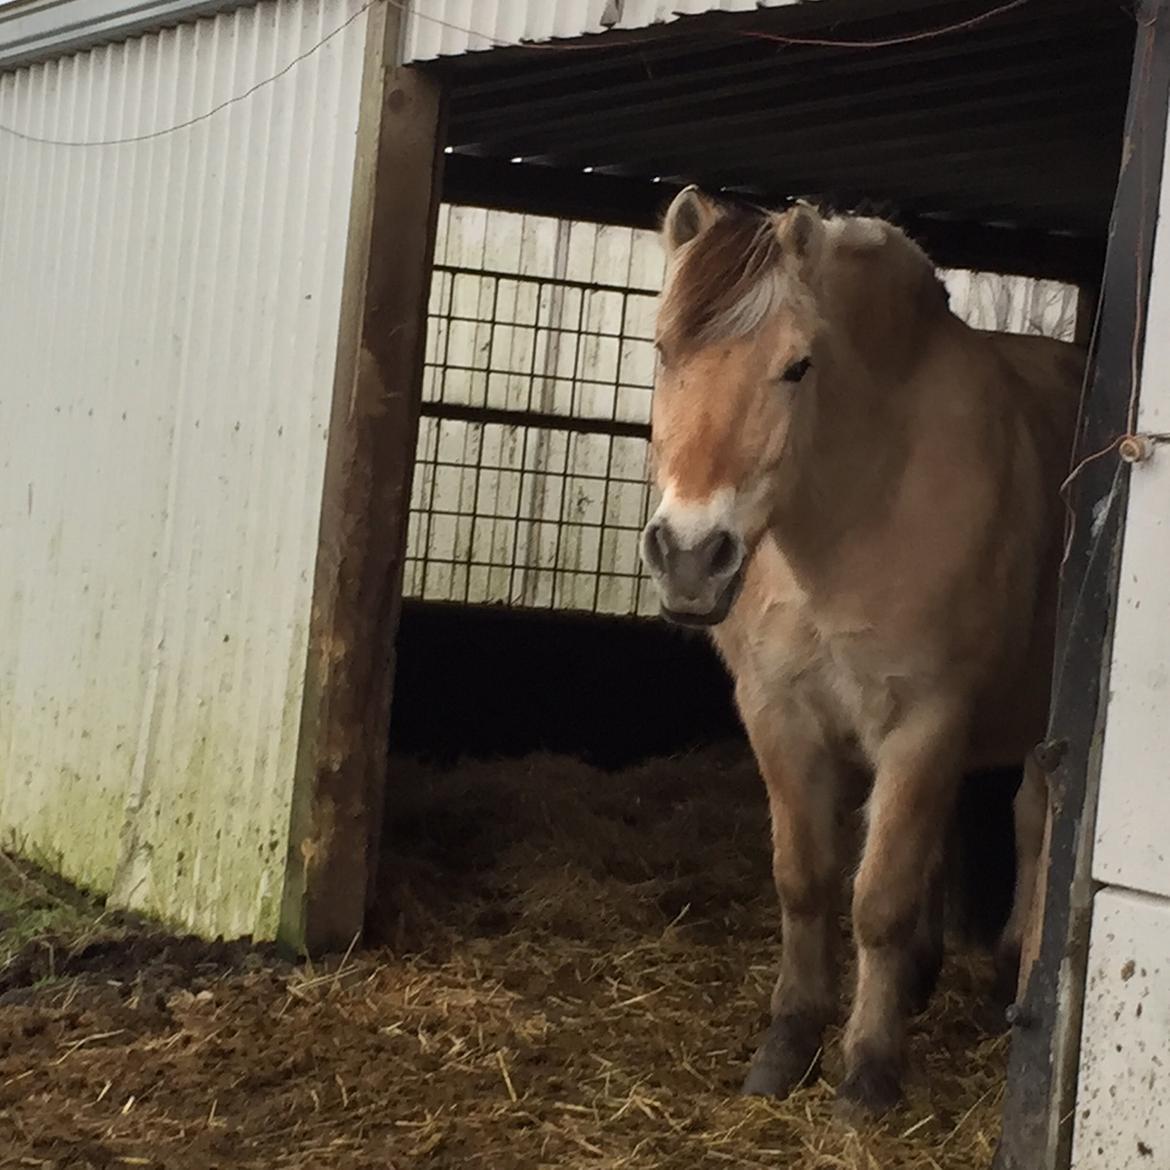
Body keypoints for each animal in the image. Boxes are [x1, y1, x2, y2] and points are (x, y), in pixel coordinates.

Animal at [641, 187, 1076, 1118]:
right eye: (662, 350)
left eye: (798, 367)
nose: (690, 556)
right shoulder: (776, 712)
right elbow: (805, 880)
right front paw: (788, 1043)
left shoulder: (926, 721)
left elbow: (877, 899)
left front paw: (870, 1072)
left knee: (1031, 823)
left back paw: (1002, 978)